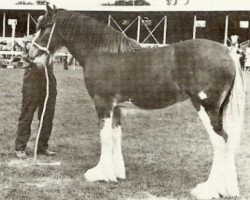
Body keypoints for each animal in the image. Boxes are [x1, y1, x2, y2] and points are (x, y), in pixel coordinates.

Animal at [27, 4, 244, 198]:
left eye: (45, 27)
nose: (30, 56)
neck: (101, 53)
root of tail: (227, 53)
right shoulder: (116, 108)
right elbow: (116, 136)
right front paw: (115, 173)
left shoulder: (103, 103)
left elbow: (105, 137)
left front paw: (99, 174)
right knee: (227, 142)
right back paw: (226, 188)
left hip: (205, 107)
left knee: (220, 141)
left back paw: (208, 189)